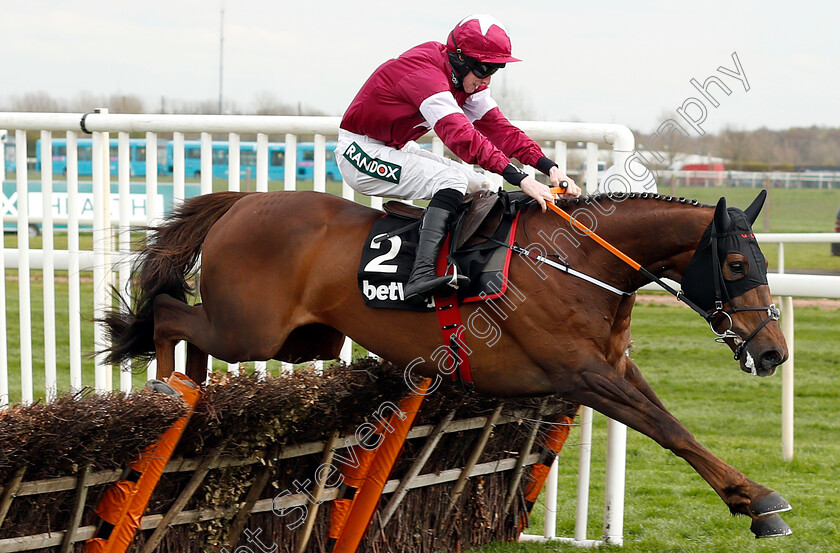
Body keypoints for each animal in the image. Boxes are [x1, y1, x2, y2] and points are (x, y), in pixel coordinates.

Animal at [101, 189, 792, 536]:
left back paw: (185, 388)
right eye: (736, 264)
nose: (773, 352)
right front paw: (758, 501)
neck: (579, 263)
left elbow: (676, 427)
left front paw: (751, 497)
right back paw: (166, 393)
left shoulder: (614, 368)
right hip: (251, 330)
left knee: (188, 331)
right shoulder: (581, 374)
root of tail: (244, 202)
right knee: (168, 313)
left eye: (762, 263)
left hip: (301, 340)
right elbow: (668, 429)